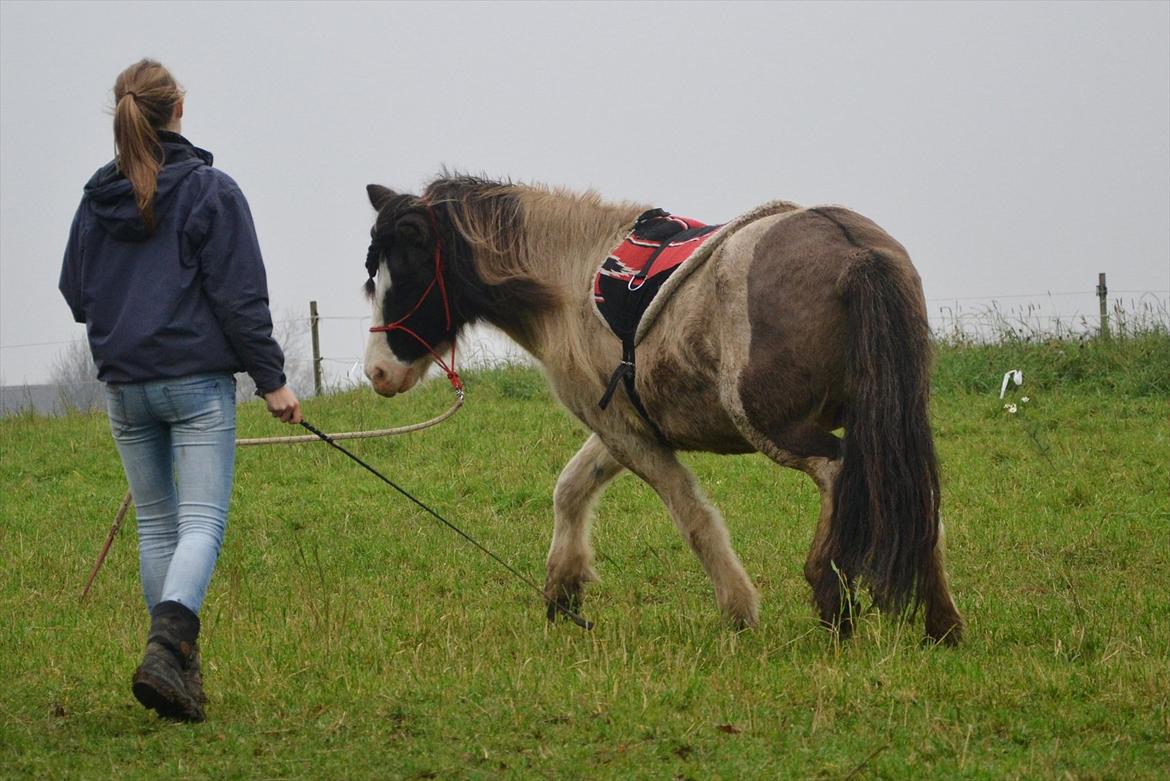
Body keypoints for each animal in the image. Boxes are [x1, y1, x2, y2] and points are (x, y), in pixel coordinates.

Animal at [360, 174, 964, 645]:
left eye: (405, 272)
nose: (377, 373)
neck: (571, 277)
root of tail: (854, 249)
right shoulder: (619, 425)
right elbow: (571, 487)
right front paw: (563, 591)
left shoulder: (624, 432)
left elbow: (692, 517)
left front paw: (739, 612)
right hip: (890, 418)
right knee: (916, 495)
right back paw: (942, 626)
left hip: (775, 425)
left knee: (841, 473)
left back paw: (831, 597)